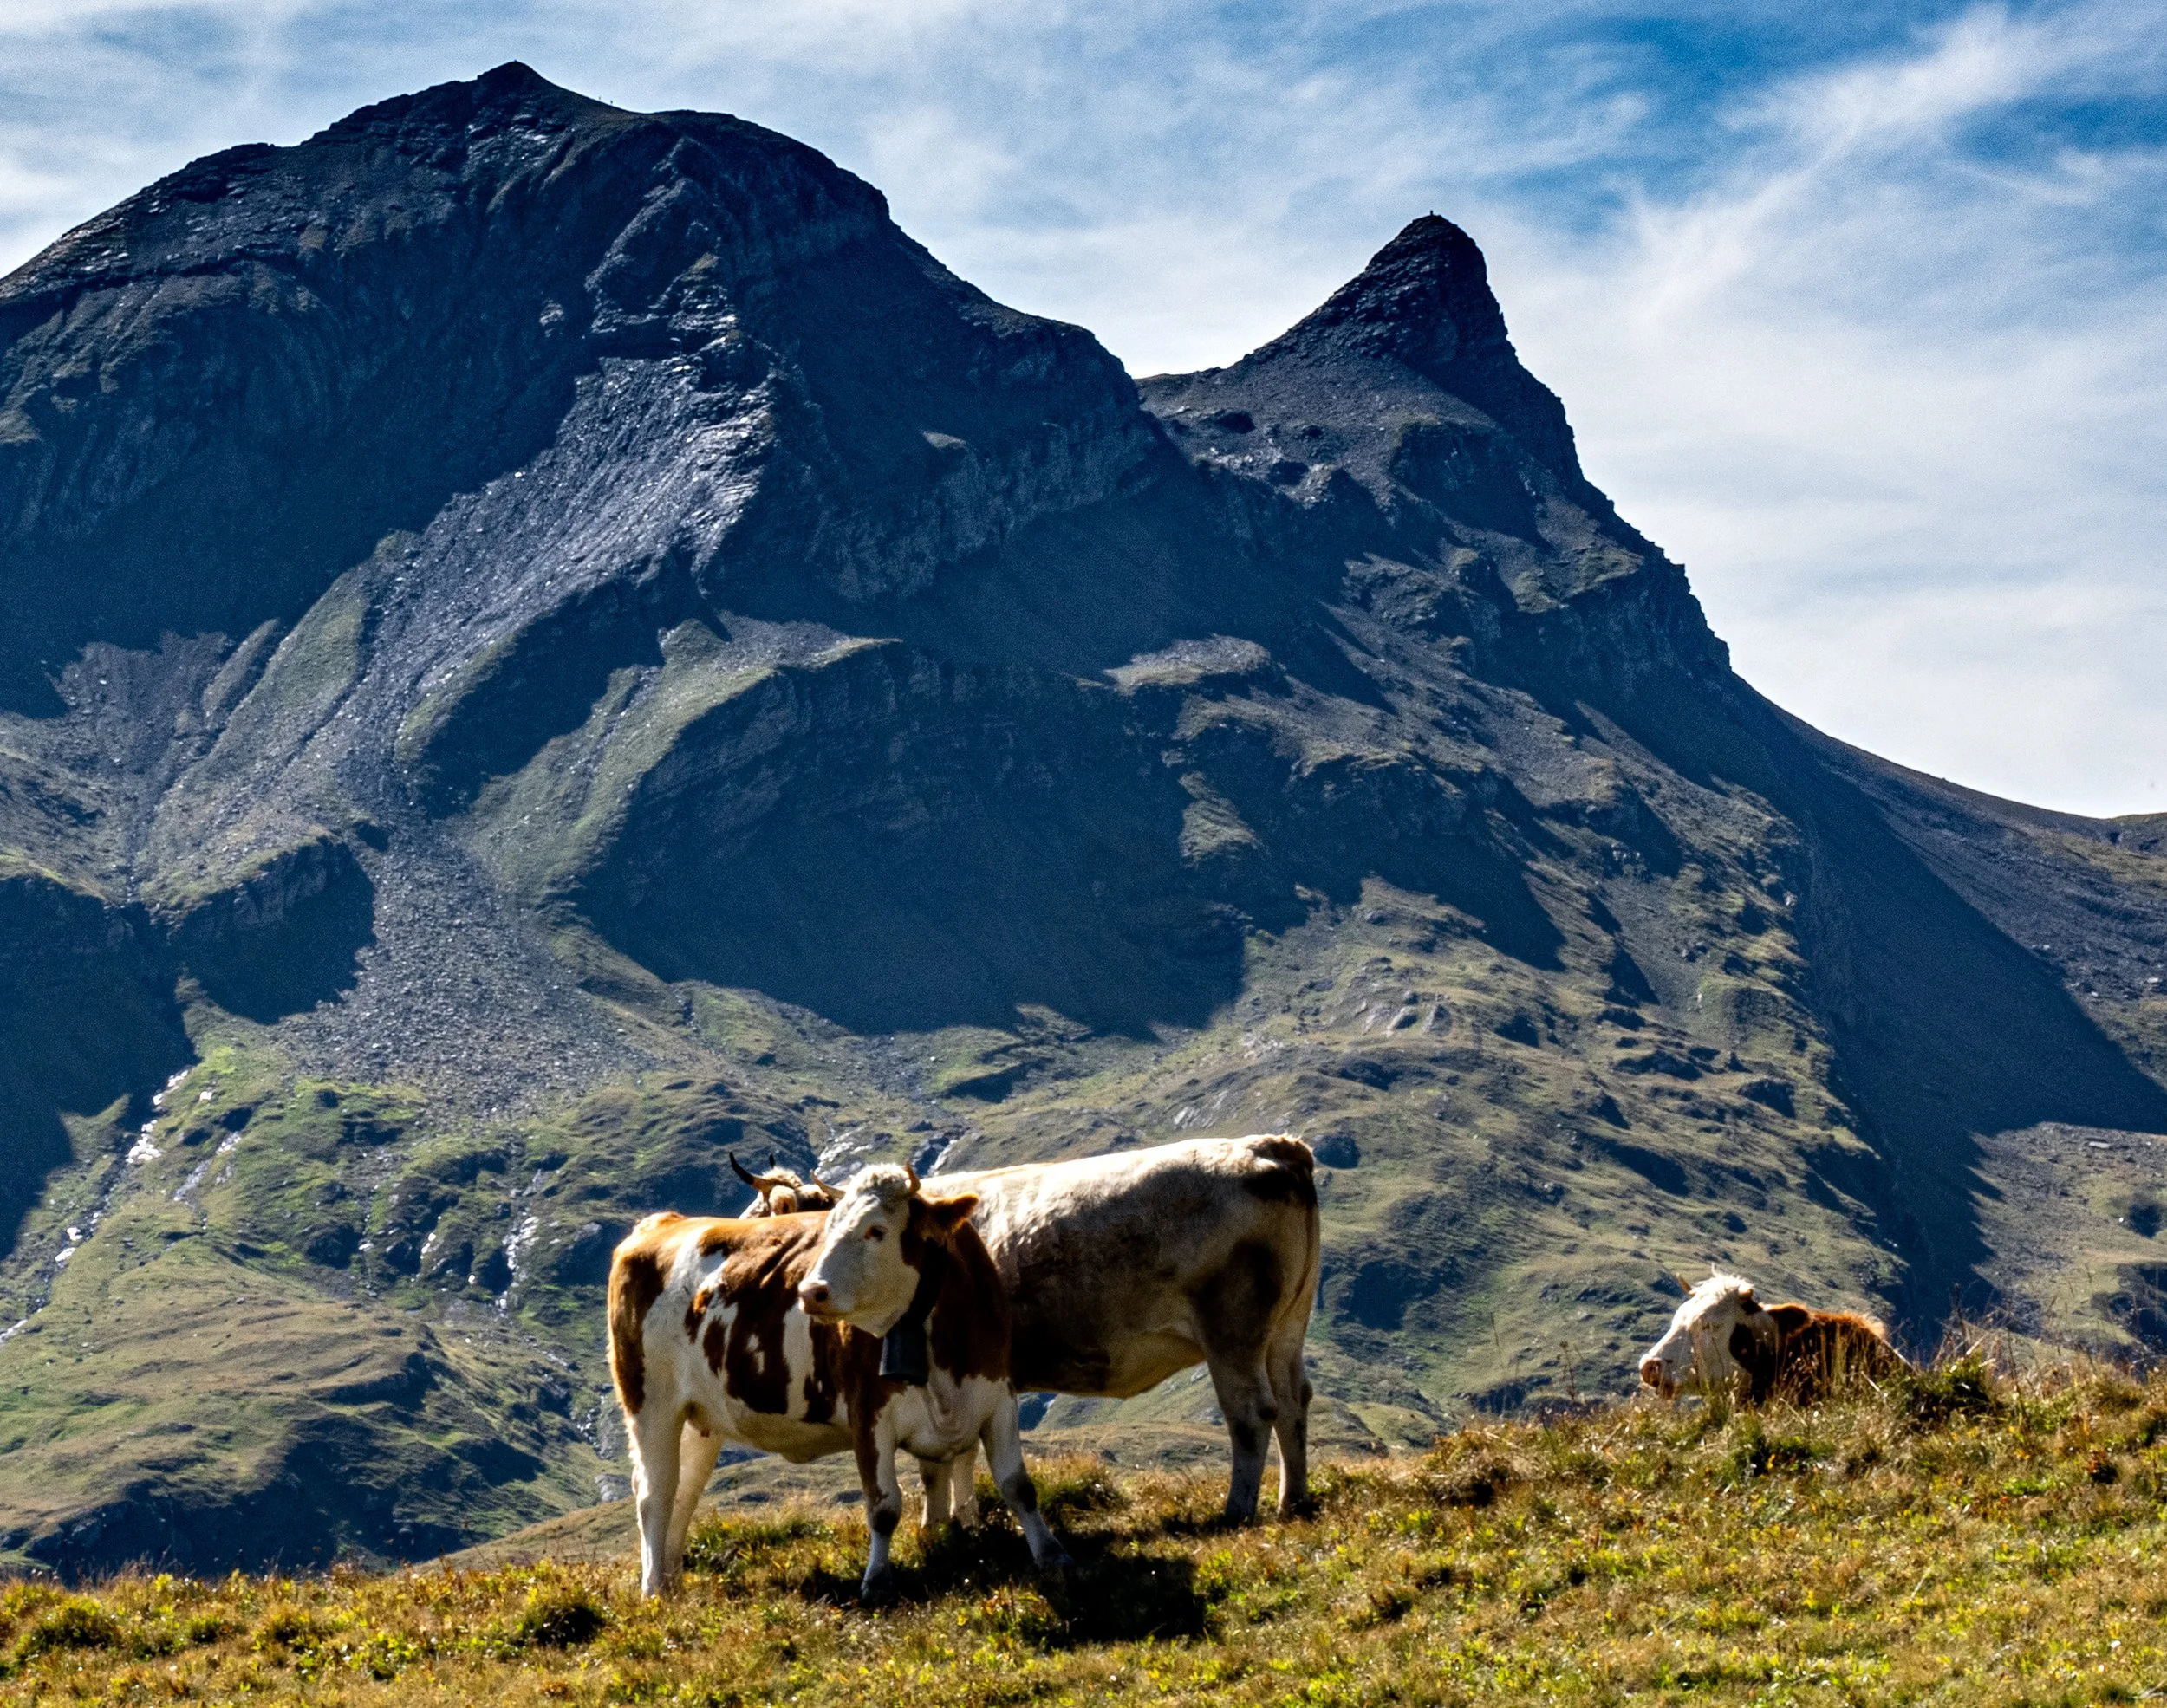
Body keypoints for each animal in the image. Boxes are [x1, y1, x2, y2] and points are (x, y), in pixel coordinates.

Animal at [607, 1163, 1070, 1601]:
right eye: (829, 1226)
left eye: (877, 1230)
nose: (810, 1291)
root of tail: (663, 1223)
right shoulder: (868, 1414)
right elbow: (884, 1505)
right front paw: (877, 1580)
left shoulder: (997, 1397)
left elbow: (1016, 1485)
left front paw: (1048, 1553)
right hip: (651, 1405)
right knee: (654, 1493)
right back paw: (653, 1590)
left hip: (699, 1419)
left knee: (684, 1491)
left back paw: (672, 1582)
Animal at [738, 1135, 1321, 1524]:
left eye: (759, 1214)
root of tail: (1271, 1147)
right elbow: (953, 1455)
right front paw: (957, 1521)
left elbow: (950, 1458)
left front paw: (948, 1520)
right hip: (1287, 1331)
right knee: (1295, 1403)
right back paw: (1293, 1501)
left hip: (1233, 1333)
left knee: (1252, 1414)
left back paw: (1237, 1510)